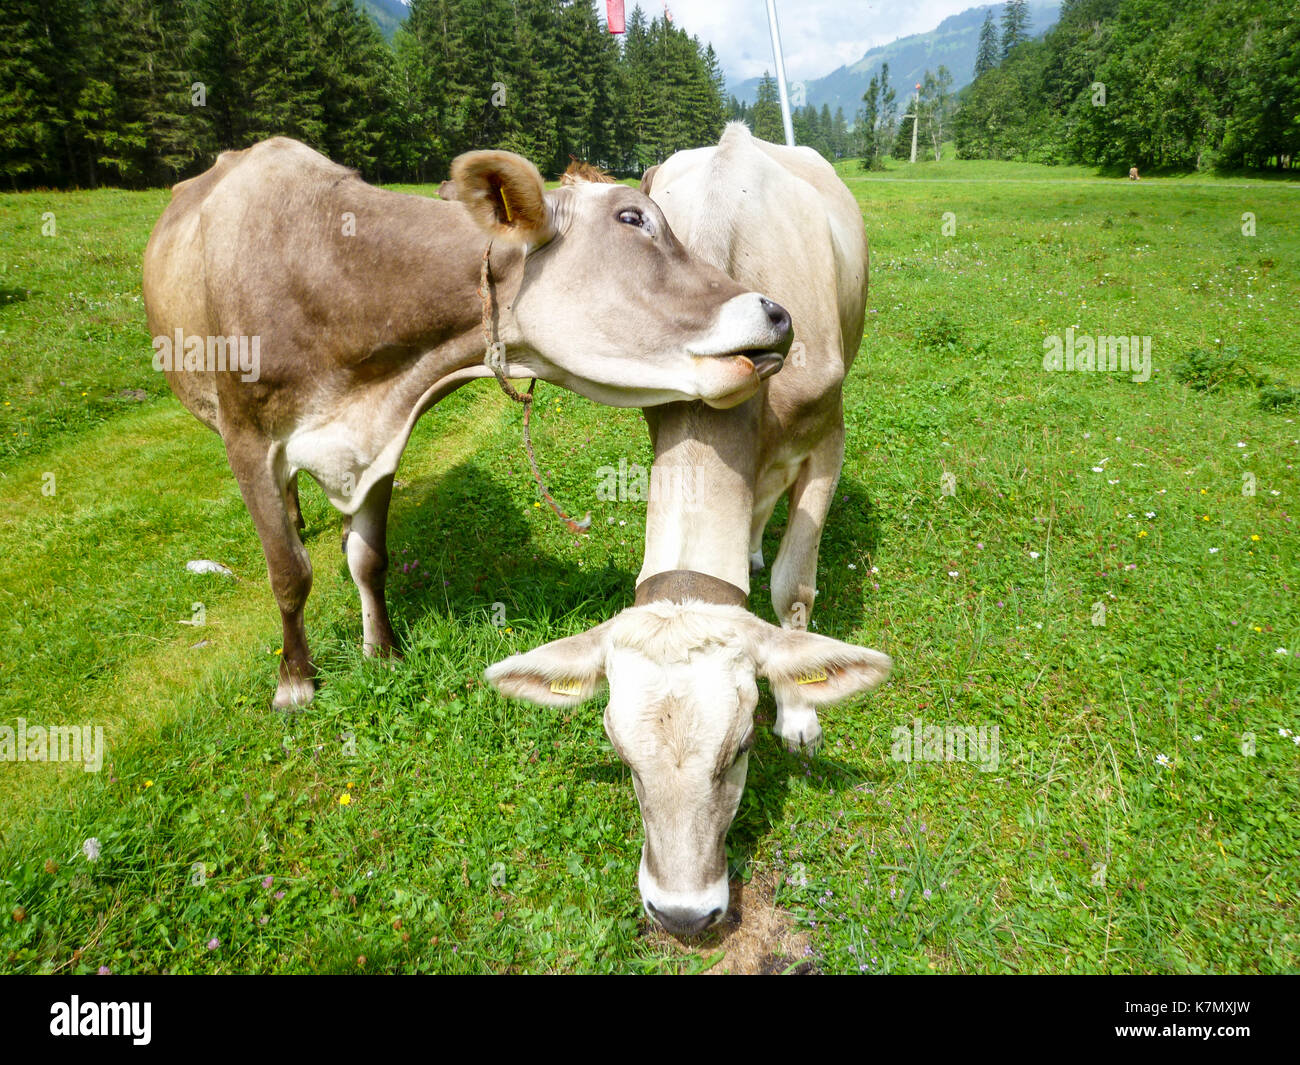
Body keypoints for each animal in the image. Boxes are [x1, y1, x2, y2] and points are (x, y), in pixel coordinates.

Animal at [142, 137, 793, 709]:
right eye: (633, 218)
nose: (779, 313)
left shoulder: (383, 443)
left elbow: (369, 559)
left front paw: (382, 650)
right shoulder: (247, 439)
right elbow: (288, 573)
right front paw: (295, 681)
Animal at [485, 124, 891, 935]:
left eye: (740, 748)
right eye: (621, 755)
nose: (681, 913)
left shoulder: (828, 440)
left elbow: (794, 588)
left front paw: (801, 709)